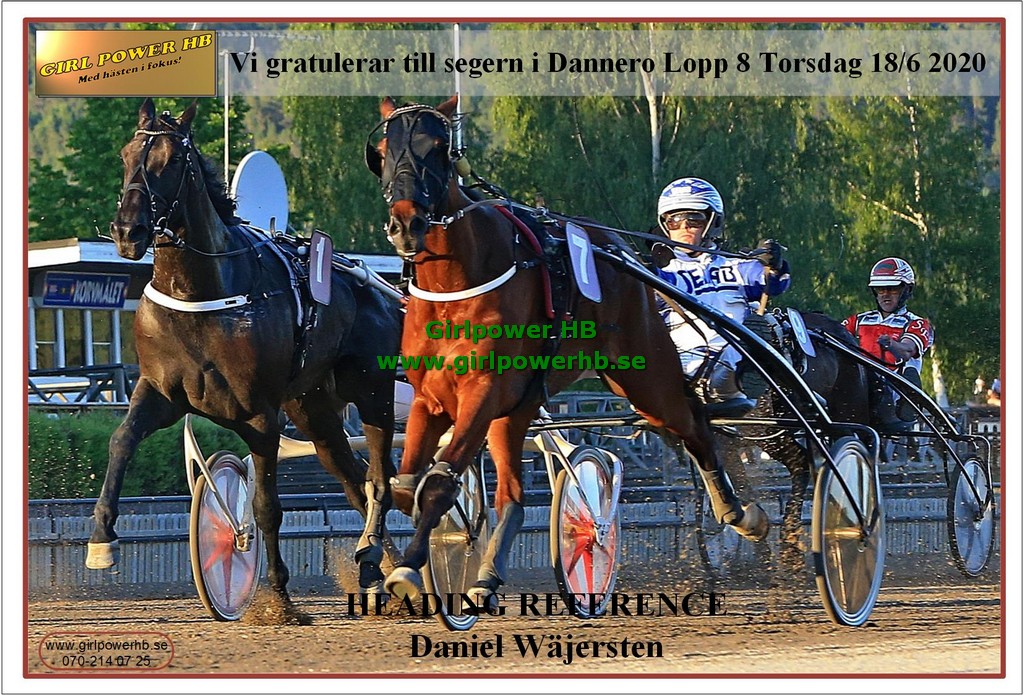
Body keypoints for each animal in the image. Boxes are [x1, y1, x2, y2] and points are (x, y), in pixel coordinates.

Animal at [92, 98, 403, 621]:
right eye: (126, 155)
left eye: (171, 162)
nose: (127, 231)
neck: (201, 292)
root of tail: (376, 289)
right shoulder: (159, 392)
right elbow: (120, 441)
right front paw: (102, 538)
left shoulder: (260, 414)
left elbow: (265, 508)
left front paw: (279, 595)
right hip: (314, 409)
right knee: (352, 477)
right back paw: (382, 569)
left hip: (373, 393)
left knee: (378, 478)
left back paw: (378, 558)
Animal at [364, 95, 770, 605]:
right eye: (382, 151)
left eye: (438, 147)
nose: (406, 224)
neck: (456, 283)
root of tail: (620, 251)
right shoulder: (431, 397)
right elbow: (405, 485)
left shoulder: (483, 392)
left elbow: (436, 483)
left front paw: (408, 569)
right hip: (523, 407)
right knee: (513, 495)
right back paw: (488, 574)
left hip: (642, 375)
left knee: (692, 422)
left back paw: (740, 513)